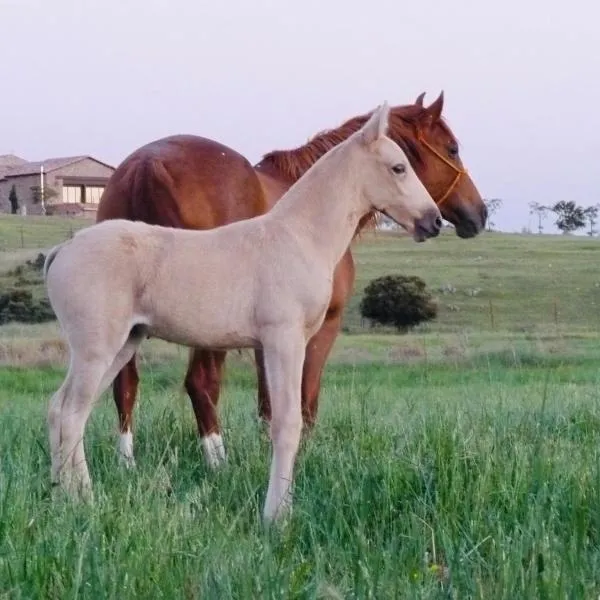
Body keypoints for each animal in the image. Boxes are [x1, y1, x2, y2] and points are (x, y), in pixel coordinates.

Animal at [43, 102, 440, 520]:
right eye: (399, 167)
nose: (434, 221)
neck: (299, 236)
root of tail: (63, 250)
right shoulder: (284, 339)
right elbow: (287, 422)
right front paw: (276, 517)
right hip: (96, 349)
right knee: (71, 413)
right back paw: (84, 502)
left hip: (124, 344)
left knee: (60, 408)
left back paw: (60, 497)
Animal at [95, 91, 488, 466]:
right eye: (451, 148)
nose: (480, 214)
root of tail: (147, 165)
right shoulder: (320, 328)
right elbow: (305, 398)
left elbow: (269, 402)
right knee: (200, 384)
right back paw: (217, 463)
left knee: (125, 384)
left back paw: (127, 463)